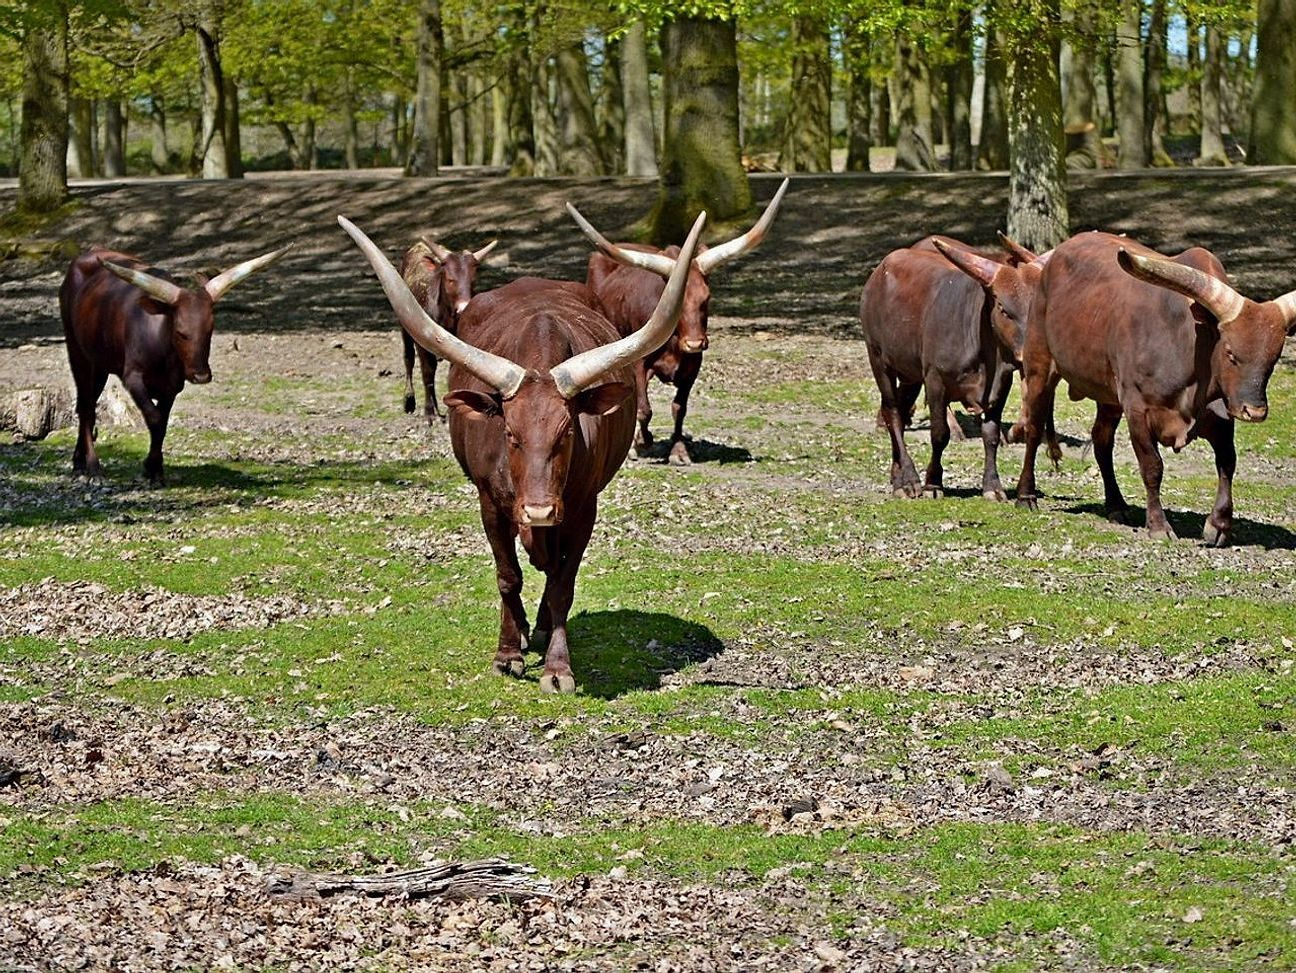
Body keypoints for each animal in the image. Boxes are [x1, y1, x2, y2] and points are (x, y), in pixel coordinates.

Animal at [59, 244, 291, 484]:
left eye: (210, 329)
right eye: (180, 332)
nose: (201, 376)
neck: (160, 342)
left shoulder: (172, 386)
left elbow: (162, 422)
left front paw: (154, 470)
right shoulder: (133, 378)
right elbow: (154, 417)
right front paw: (149, 469)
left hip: (99, 364)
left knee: (87, 403)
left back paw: (78, 461)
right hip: (77, 353)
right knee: (86, 407)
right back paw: (93, 466)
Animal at [398, 237, 497, 423]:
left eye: (472, 281)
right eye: (450, 279)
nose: (464, 308)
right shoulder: (422, 343)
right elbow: (427, 373)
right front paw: (429, 412)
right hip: (404, 326)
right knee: (408, 358)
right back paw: (409, 400)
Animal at [566, 178, 789, 465]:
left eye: (707, 297)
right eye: (676, 302)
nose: (694, 343)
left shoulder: (692, 367)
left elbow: (678, 408)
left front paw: (679, 451)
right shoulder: (638, 363)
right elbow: (644, 408)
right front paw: (642, 442)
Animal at [859, 235, 1028, 501]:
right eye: (1003, 307)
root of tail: (881, 269)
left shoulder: (1001, 386)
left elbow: (991, 435)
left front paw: (993, 486)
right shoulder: (935, 380)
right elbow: (939, 434)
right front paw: (933, 483)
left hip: (909, 373)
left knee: (899, 410)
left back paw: (897, 476)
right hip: (878, 358)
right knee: (893, 413)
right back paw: (908, 480)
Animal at [1012, 231, 1296, 545]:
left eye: (1273, 358)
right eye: (1231, 353)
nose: (1254, 411)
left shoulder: (1221, 414)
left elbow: (1227, 462)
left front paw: (1219, 525)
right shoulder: (1138, 408)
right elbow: (1152, 466)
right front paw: (1159, 525)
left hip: (1109, 396)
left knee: (1101, 439)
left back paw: (1116, 505)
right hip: (1039, 365)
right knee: (1034, 428)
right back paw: (1025, 496)